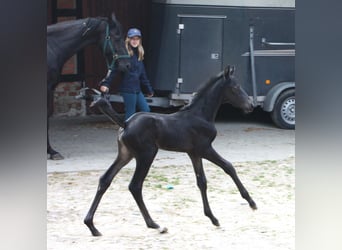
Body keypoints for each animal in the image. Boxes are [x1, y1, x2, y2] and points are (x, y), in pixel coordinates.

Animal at [85, 65, 256, 235]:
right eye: (235, 87)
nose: (251, 105)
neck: (200, 115)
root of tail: (125, 123)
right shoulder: (205, 149)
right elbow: (228, 167)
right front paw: (251, 202)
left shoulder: (194, 153)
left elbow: (202, 181)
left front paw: (212, 218)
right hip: (146, 155)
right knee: (135, 186)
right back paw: (155, 224)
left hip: (125, 154)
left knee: (105, 180)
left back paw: (92, 226)